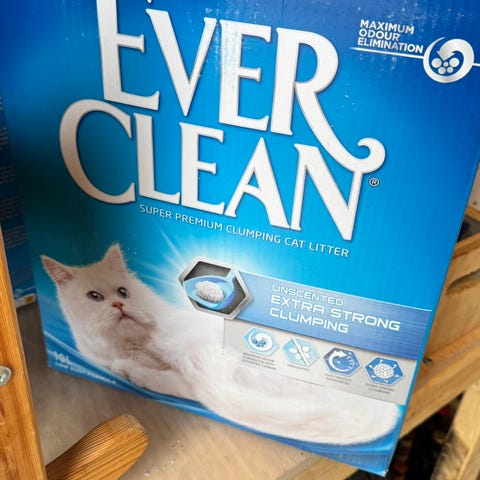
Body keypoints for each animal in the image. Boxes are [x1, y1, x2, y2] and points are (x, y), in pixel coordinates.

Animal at [42, 244, 401, 445]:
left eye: (122, 292)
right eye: (95, 297)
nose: (118, 305)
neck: (131, 344)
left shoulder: (193, 363)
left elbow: (168, 380)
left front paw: (135, 373)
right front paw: (127, 369)